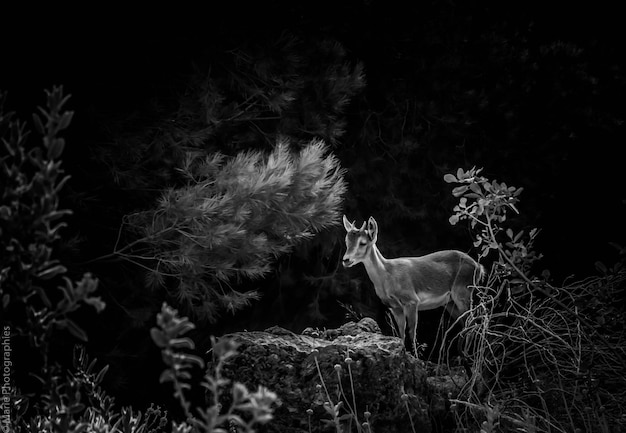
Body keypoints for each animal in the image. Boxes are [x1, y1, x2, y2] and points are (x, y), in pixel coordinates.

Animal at [342, 214, 482, 352]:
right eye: (346, 241)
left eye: (363, 242)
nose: (346, 260)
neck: (388, 275)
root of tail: (479, 267)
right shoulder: (395, 307)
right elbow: (401, 334)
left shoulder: (412, 301)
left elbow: (412, 334)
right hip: (450, 302)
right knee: (465, 324)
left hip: (463, 293)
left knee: (471, 323)